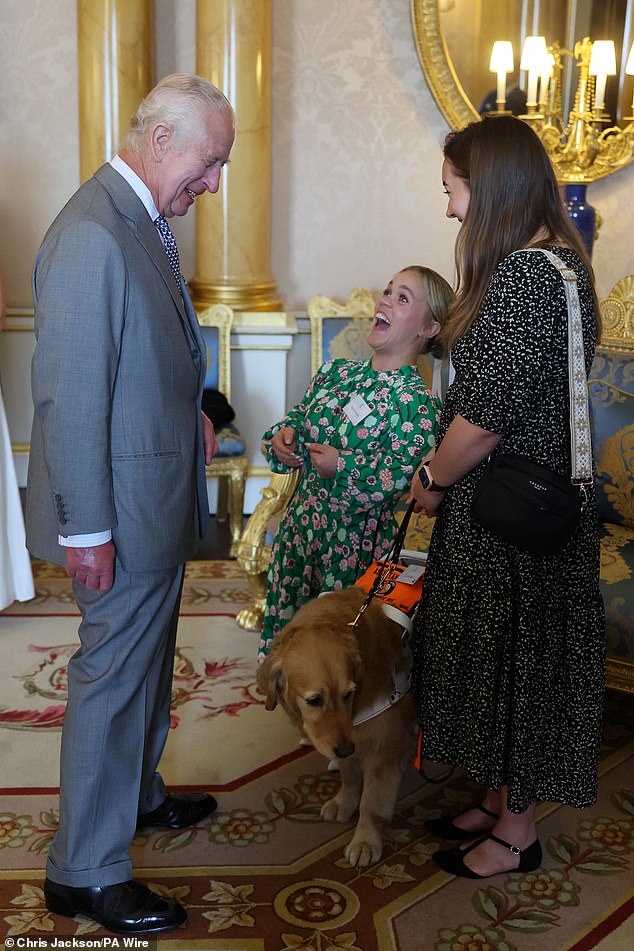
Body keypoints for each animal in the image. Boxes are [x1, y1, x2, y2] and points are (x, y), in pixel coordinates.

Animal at [254, 584, 418, 868]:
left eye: (348, 694)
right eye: (314, 700)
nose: (344, 749)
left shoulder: (383, 747)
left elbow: (371, 802)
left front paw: (365, 841)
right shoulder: (348, 739)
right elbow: (350, 776)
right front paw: (344, 802)